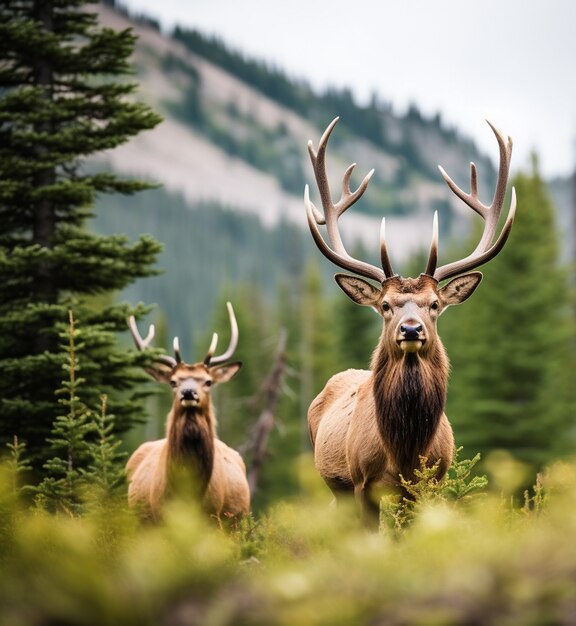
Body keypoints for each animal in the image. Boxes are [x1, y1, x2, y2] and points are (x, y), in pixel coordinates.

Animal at [306, 117, 516, 520]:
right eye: (386, 305)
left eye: (434, 304)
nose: (411, 328)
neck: (405, 452)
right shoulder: (362, 484)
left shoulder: (431, 484)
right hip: (334, 485)